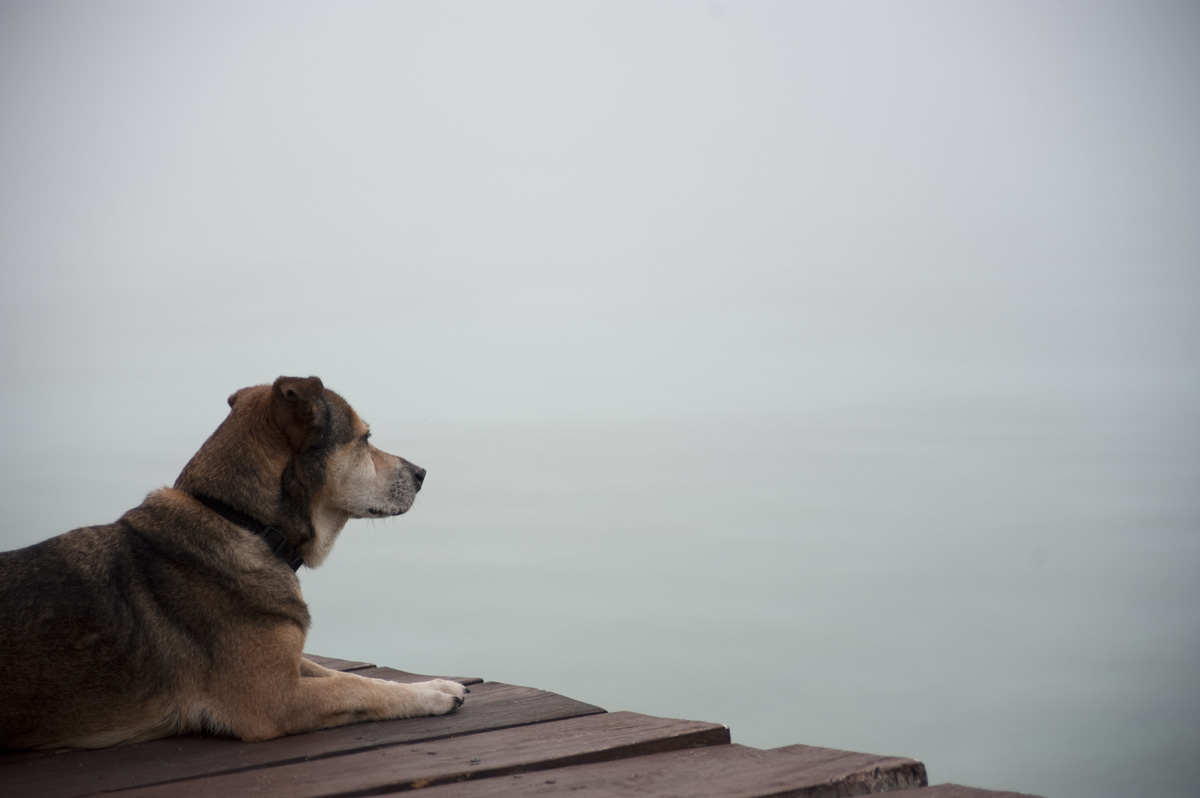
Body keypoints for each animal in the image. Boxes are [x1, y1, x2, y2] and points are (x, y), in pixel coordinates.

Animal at [0, 374, 465, 748]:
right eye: (365, 439)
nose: (422, 474)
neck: (245, 523)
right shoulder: (274, 699)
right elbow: (353, 688)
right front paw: (432, 695)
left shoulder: (286, 661)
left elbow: (352, 676)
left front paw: (438, 683)